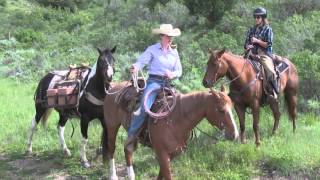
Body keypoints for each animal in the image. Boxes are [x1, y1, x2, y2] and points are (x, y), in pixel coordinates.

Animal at [101, 82, 239, 179]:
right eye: (221, 110)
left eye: (232, 106)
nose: (235, 134)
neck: (177, 119)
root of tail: (113, 88)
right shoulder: (162, 154)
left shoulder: (172, 154)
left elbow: (161, 175)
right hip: (112, 126)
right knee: (112, 148)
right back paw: (113, 176)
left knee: (128, 150)